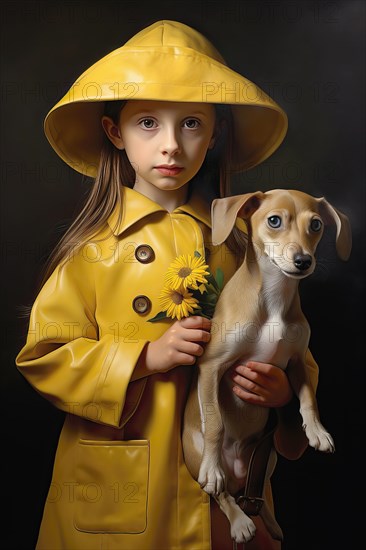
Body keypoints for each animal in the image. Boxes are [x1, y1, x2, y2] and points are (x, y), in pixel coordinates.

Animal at [183, 191, 352, 548]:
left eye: (316, 225)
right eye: (274, 221)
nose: (303, 261)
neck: (274, 298)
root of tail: (236, 471)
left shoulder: (297, 362)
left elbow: (308, 399)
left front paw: (317, 431)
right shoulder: (212, 366)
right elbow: (215, 422)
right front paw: (212, 468)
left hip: (268, 455)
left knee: (255, 494)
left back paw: (271, 524)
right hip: (193, 454)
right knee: (221, 494)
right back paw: (238, 521)